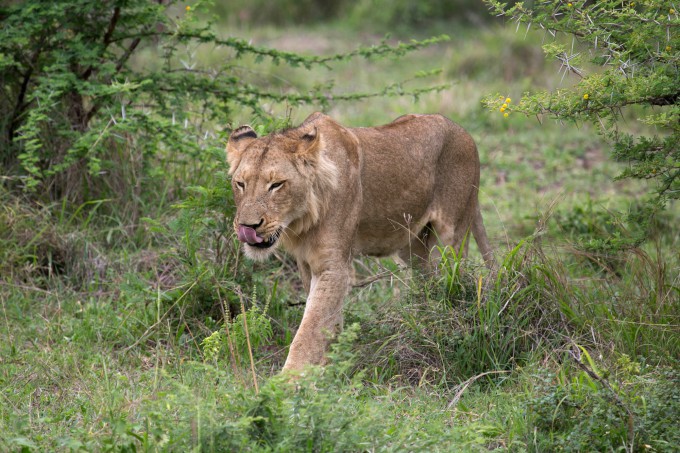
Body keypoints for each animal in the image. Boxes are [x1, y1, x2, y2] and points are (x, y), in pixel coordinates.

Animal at [228, 112, 494, 370]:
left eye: (276, 185)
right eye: (240, 184)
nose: (247, 227)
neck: (302, 220)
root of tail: (464, 133)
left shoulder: (334, 267)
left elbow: (311, 327)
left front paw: (289, 379)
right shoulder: (305, 263)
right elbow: (327, 320)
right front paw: (328, 364)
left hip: (451, 239)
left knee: (452, 282)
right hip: (413, 246)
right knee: (426, 281)